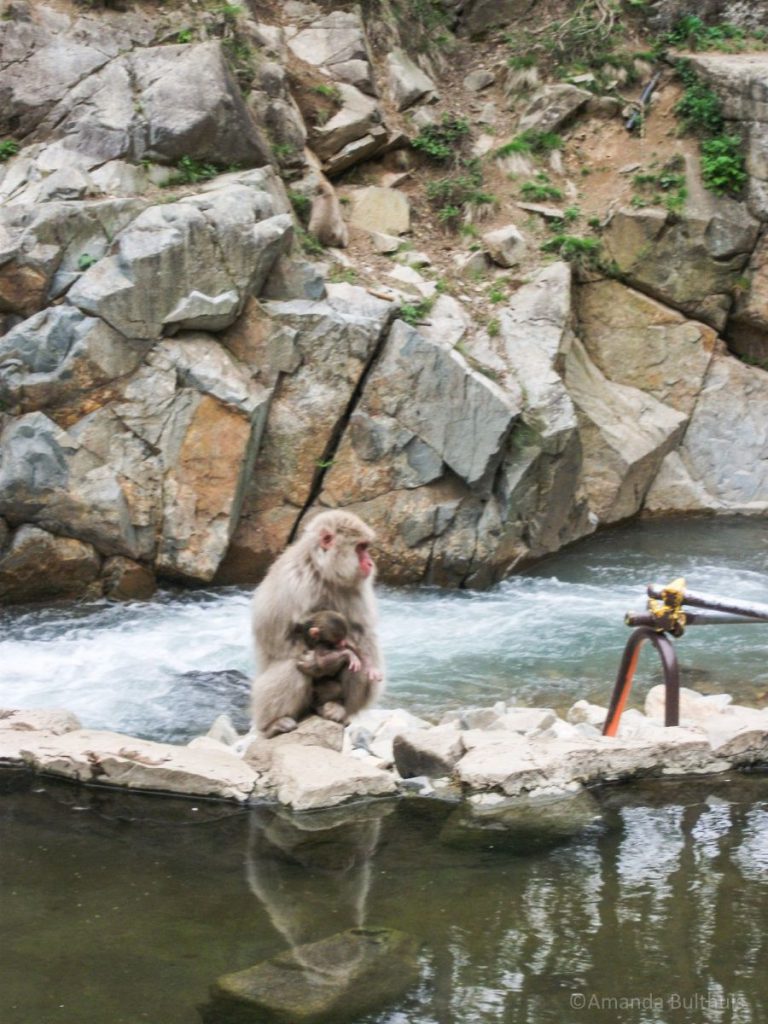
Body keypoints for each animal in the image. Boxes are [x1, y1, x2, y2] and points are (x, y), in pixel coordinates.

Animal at [250, 509, 385, 737]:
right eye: (360, 548)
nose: (370, 563)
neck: (322, 571)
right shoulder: (292, 581)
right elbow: (277, 639)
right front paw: (318, 662)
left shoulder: (356, 588)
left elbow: (363, 634)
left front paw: (323, 661)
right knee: (292, 667)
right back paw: (273, 724)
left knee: (357, 661)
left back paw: (336, 707)